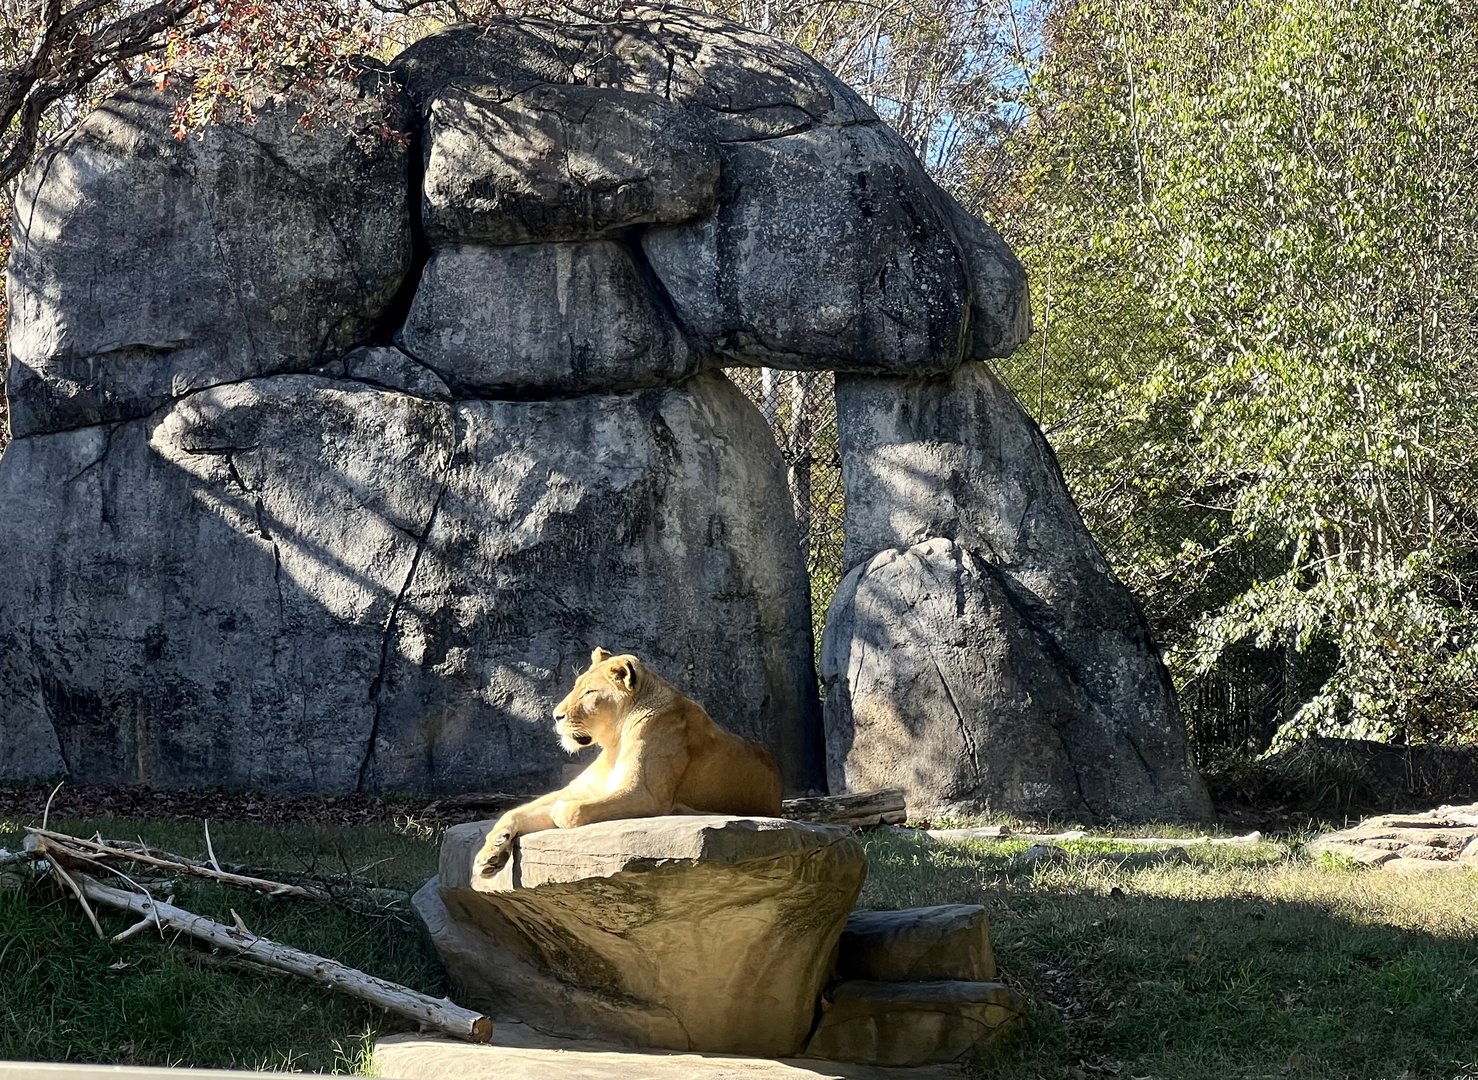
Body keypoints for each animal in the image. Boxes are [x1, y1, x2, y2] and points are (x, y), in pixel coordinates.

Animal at [474, 647, 785, 875]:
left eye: (589, 693)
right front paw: (489, 854)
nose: (556, 716)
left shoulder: (645, 795)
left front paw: (557, 813)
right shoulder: (582, 789)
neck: (614, 741)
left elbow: (571, 810)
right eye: (576, 687)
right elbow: (515, 812)